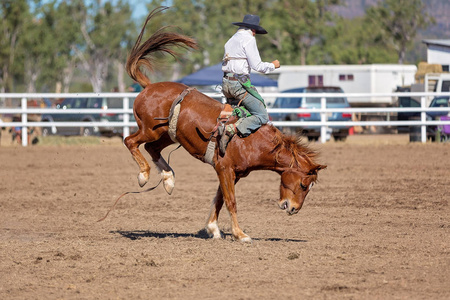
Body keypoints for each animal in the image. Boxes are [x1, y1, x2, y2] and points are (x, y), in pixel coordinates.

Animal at [124, 7, 326, 241]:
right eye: (303, 185)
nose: (293, 208)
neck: (253, 140)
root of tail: (149, 86)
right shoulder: (225, 169)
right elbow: (231, 201)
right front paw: (240, 234)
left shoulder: (232, 173)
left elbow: (219, 199)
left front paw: (213, 228)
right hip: (149, 130)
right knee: (130, 141)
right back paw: (144, 175)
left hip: (167, 135)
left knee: (151, 148)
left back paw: (168, 179)